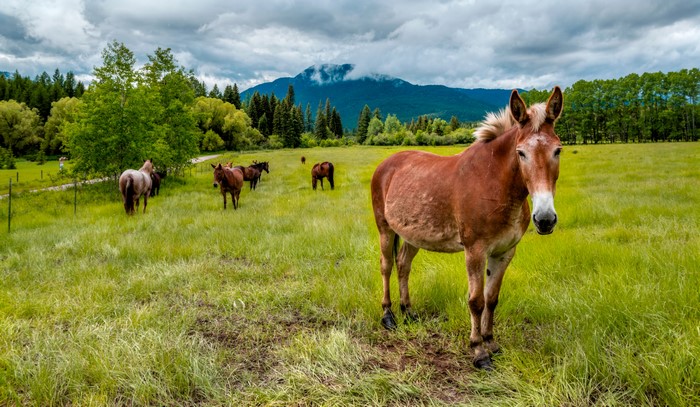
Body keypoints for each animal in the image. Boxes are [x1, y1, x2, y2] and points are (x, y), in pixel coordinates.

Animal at [371, 87, 563, 370]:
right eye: (521, 153)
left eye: (558, 150)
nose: (545, 219)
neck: (495, 185)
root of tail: (386, 164)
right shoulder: (475, 251)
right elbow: (476, 301)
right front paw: (478, 351)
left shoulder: (504, 252)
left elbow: (492, 298)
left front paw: (491, 342)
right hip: (385, 229)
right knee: (386, 266)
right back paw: (388, 315)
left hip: (412, 235)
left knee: (403, 265)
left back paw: (408, 311)